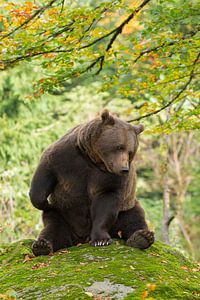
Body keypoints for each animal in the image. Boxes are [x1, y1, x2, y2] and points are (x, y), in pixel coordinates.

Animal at [29, 110, 155, 255]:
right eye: (119, 147)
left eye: (131, 152)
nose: (124, 169)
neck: (93, 159)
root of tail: (79, 239)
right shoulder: (64, 157)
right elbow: (44, 175)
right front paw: (44, 202)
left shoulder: (108, 177)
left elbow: (106, 201)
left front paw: (101, 239)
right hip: (62, 215)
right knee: (54, 228)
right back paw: (42, 245)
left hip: (126, 208)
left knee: (134, 218)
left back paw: (142, 237)